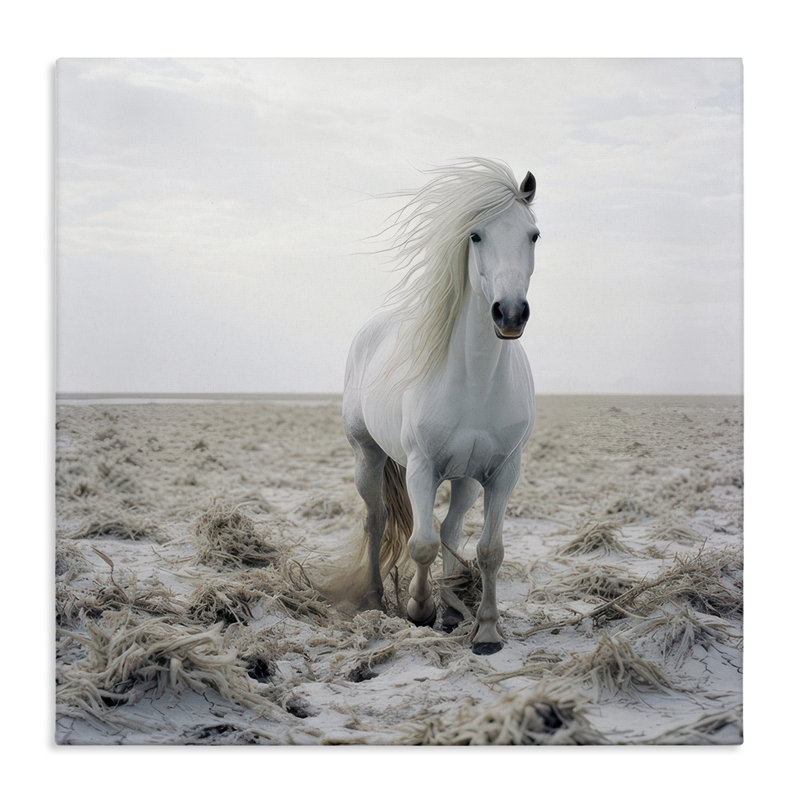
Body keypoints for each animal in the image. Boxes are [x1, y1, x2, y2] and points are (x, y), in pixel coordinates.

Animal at [342, 158, 539, 655]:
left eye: (533, 234)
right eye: (475, 235)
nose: (510, 313)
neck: (477, 381)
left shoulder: (503, 472)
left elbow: (489, 550)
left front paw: (485, 629)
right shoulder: (421, 467)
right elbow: (421, 543)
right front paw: (418, 609)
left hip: (466, 477)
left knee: (451, 528)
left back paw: (451, 609)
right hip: (367, 455)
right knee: (377, 521)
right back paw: (378, 598)